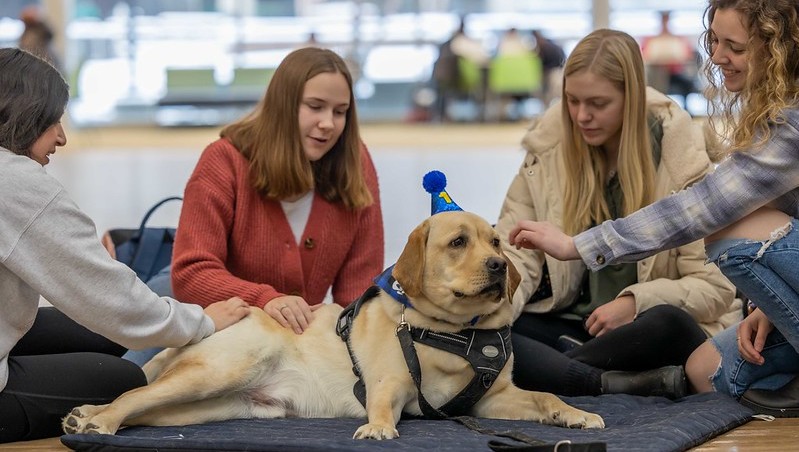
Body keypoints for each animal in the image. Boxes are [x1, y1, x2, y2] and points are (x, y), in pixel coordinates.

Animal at [62, 211, 604, 438]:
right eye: (457, 242)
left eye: (496, 242)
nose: (497, 267)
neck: (458, 333)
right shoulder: (390, 384)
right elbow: (383, 404)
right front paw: (379, 428)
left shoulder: (491, 399)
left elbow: (545, 396)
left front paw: (573, 415)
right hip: (218, 372)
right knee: (133, 395)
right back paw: (98, 421)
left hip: (207, 407)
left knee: (143, 406)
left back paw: (88, 415)